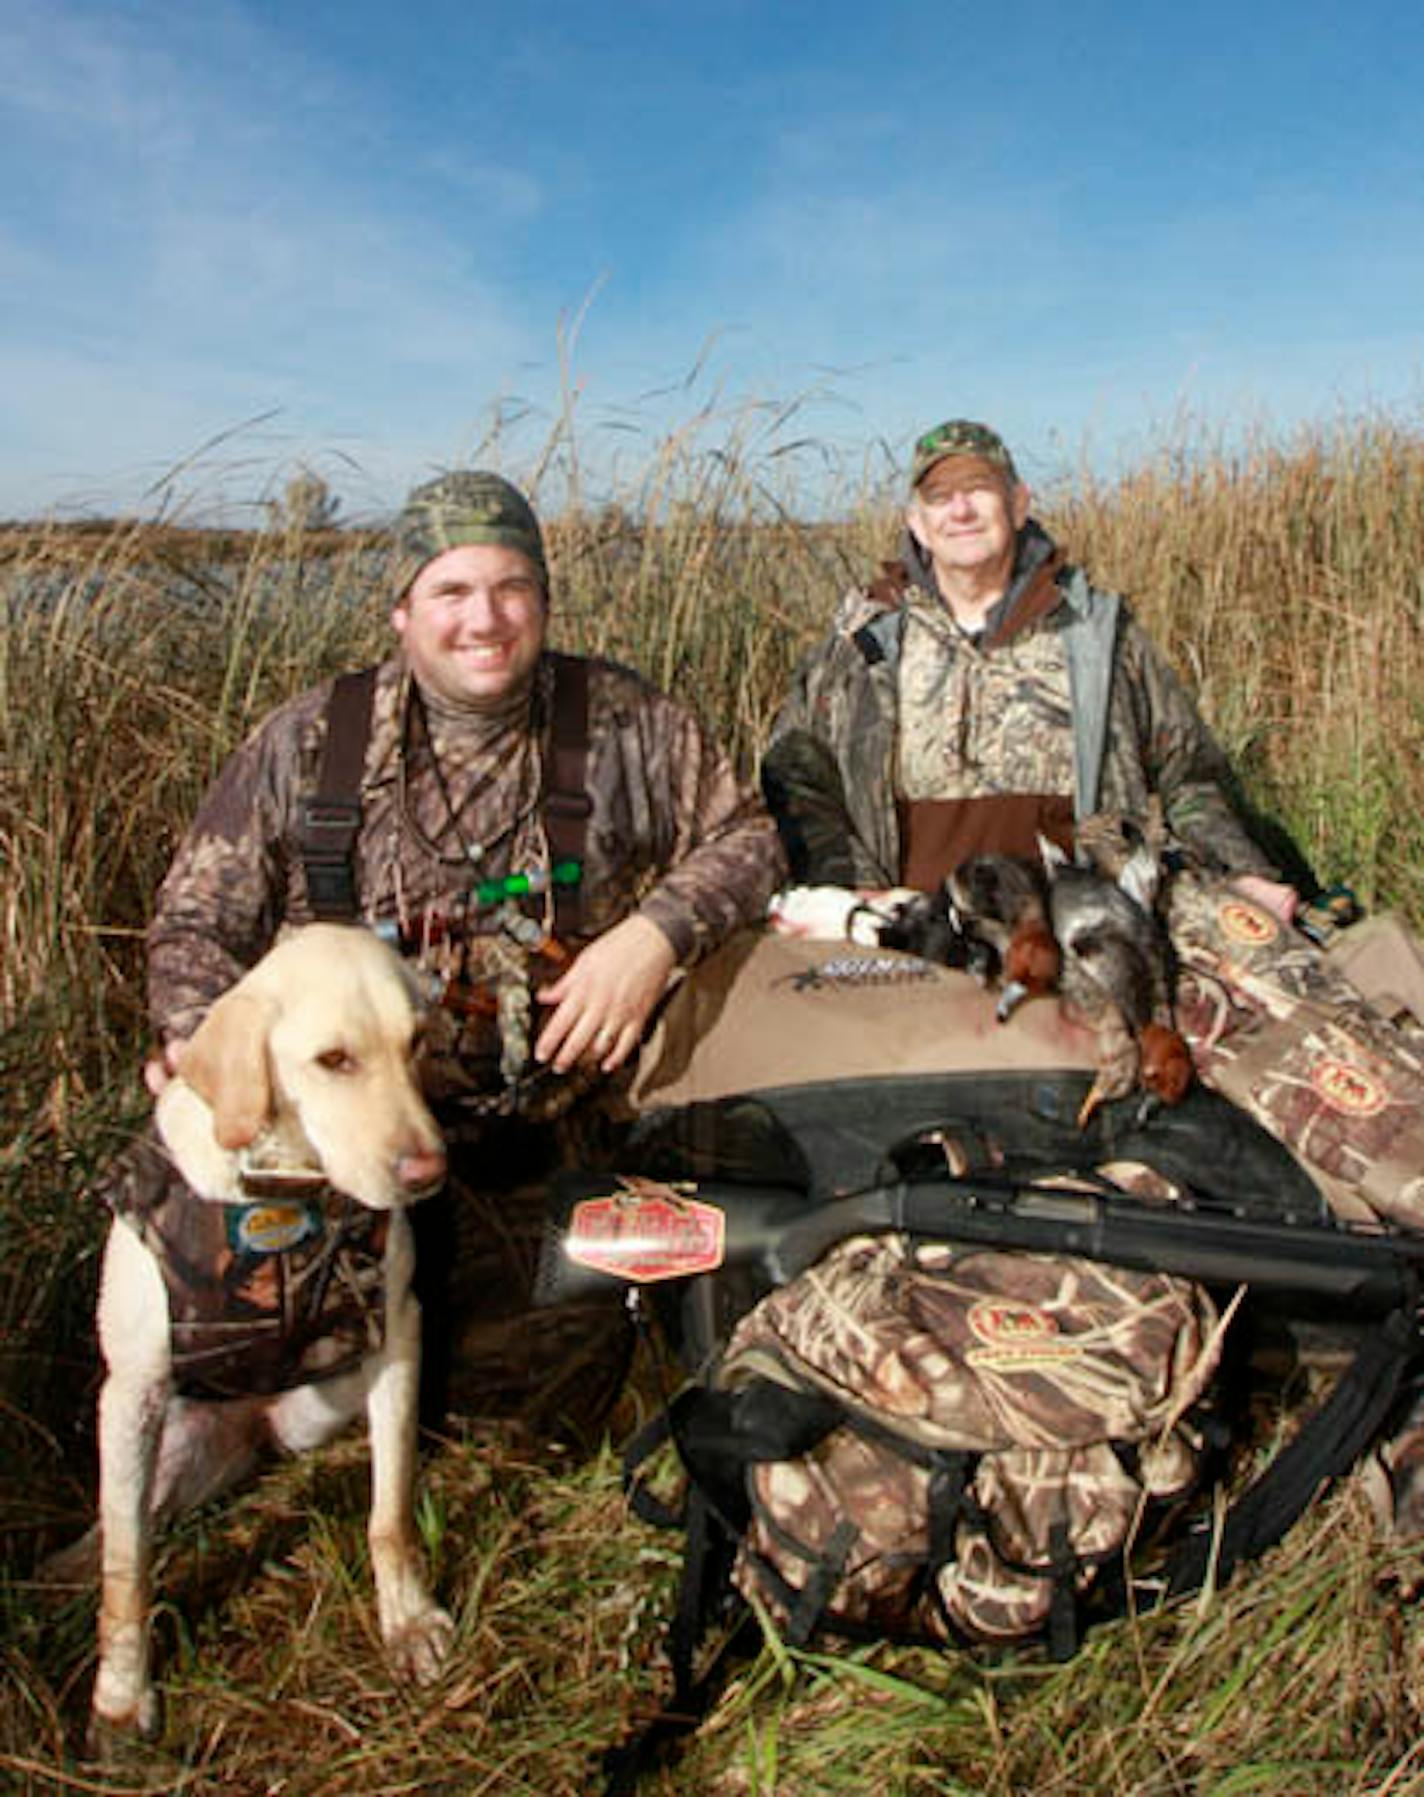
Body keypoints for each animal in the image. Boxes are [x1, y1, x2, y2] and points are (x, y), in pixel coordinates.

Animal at [87, 927, 451, 1739]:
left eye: (415, 1041)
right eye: (334, 1059)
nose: (427, 1171)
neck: (285, 1196)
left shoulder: (396, 1334)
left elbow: (390, 1511)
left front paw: (407, 1622)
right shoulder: (131, 1393)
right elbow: (126, 1568)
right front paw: (121, 1696)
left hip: (321, 1403)